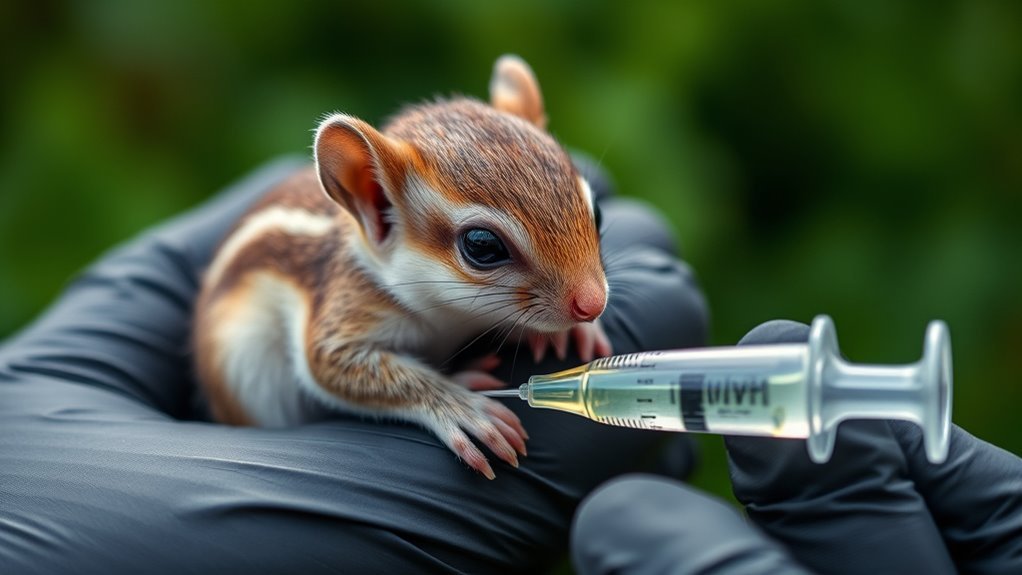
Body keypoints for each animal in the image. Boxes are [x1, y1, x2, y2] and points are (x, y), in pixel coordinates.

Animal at [193, 55, 611, 479]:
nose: (592, 304)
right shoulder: (346, 307)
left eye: (596, 211)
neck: (449, 317)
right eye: (482, 245)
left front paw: (576, 334)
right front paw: (463, 407)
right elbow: (329, 364)